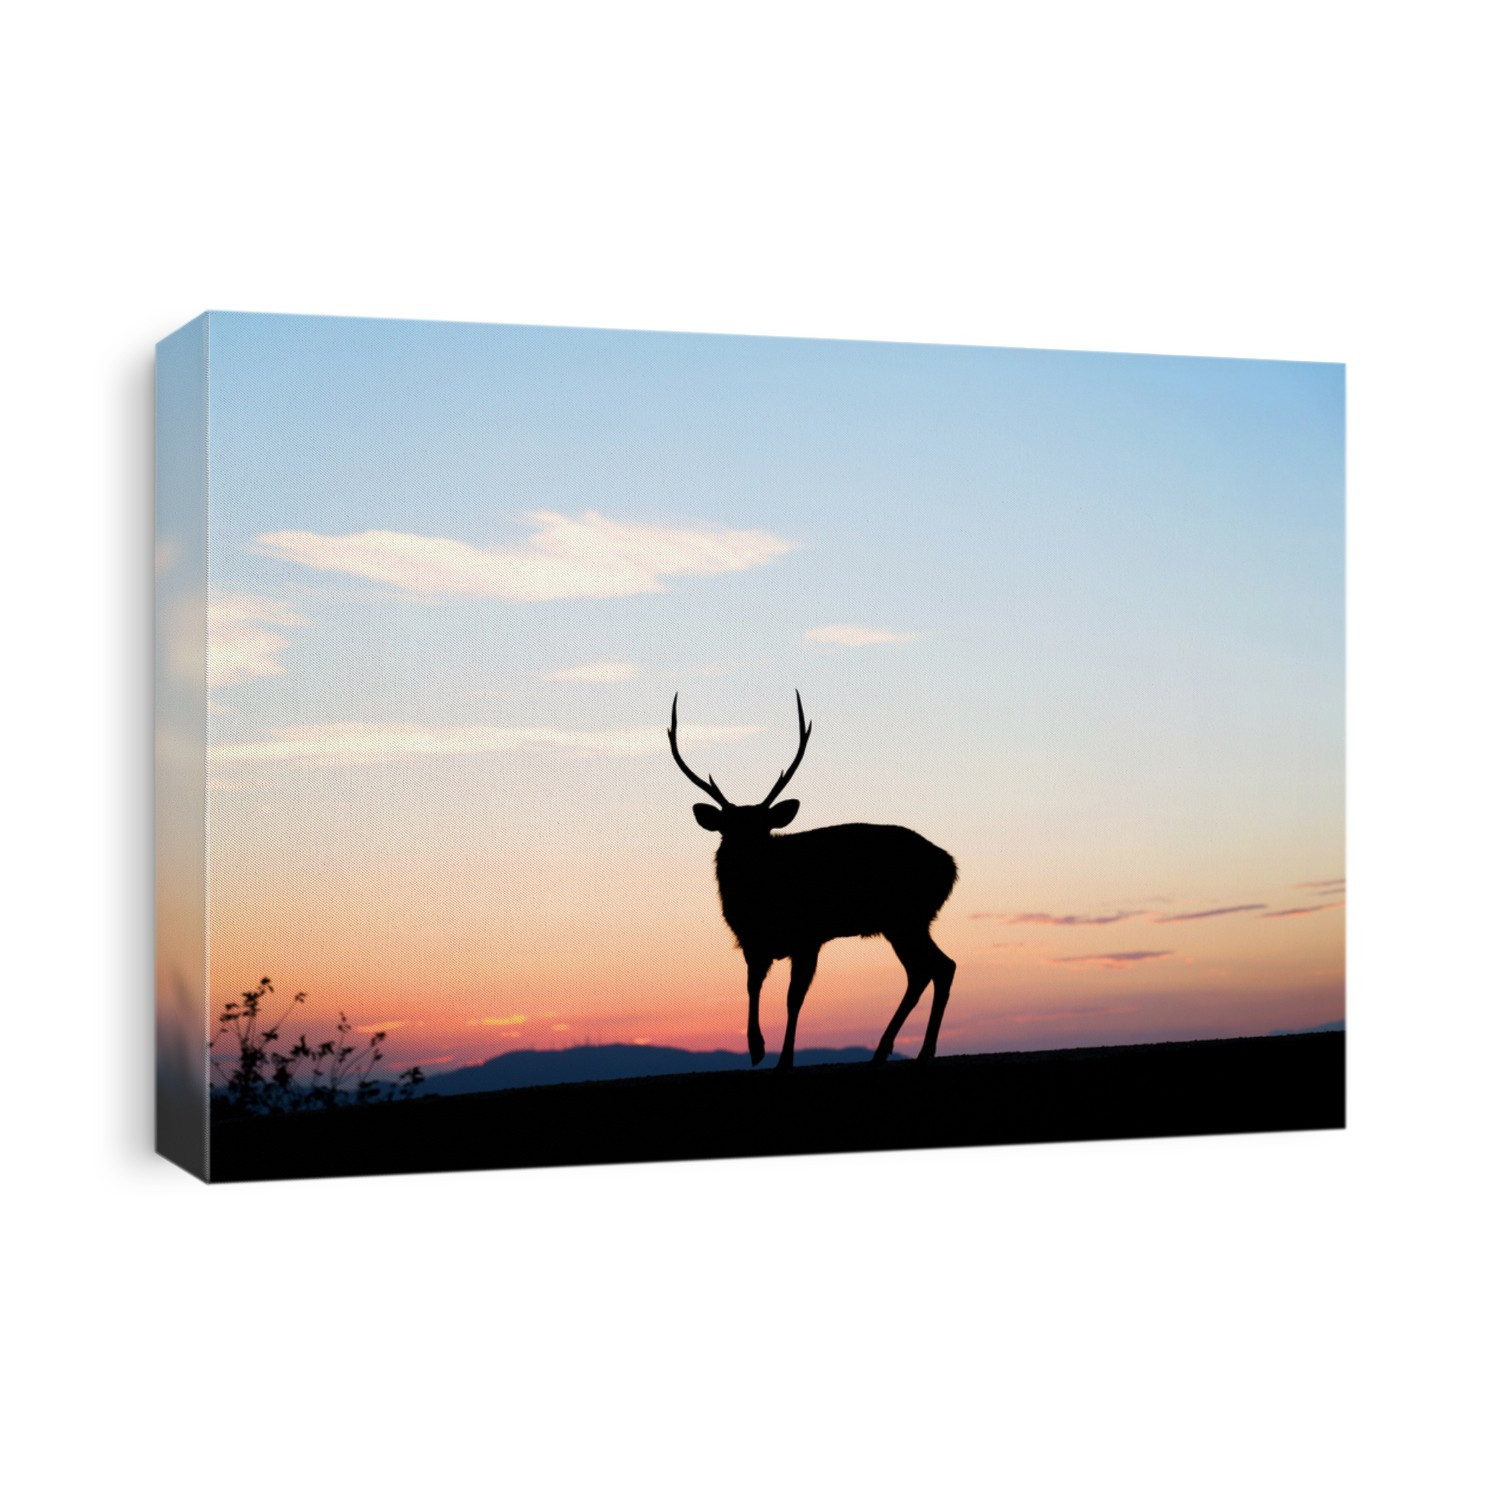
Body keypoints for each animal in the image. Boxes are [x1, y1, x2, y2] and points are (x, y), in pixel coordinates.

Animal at [669, 692, 958, 1070]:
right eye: (727, 829)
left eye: (764, 829)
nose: (748, 854)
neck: (759, 909)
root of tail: (950, 866)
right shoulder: (752, 942)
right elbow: (752, 986)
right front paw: (756, 1048)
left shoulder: (808, 937)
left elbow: (794, 998)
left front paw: (783, 1060)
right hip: (907, 922)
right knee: (932, 968)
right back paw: (894, 1051)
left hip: (906, 918)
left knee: (934, 967)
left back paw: (912, 1051)